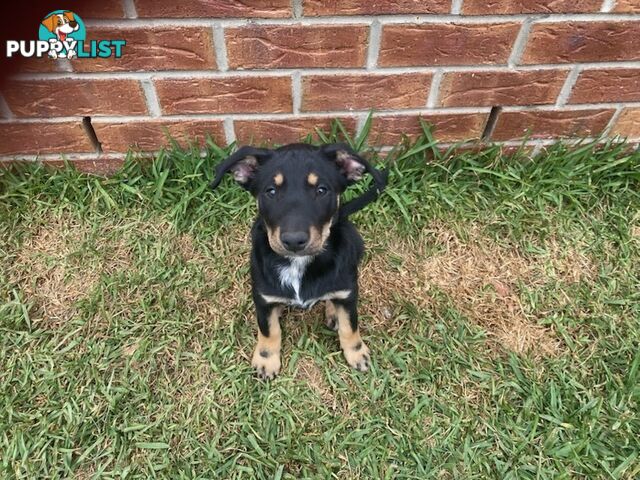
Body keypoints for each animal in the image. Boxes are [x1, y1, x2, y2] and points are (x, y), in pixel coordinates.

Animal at [212, 142, 388, 378]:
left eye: (321, 190)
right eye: (271, 191)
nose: (294, 241)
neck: (298, 264)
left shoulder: (349, 292)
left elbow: (350, 326)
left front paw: (357, 353)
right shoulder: (263, 297)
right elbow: (269, 330)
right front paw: (266, 359)